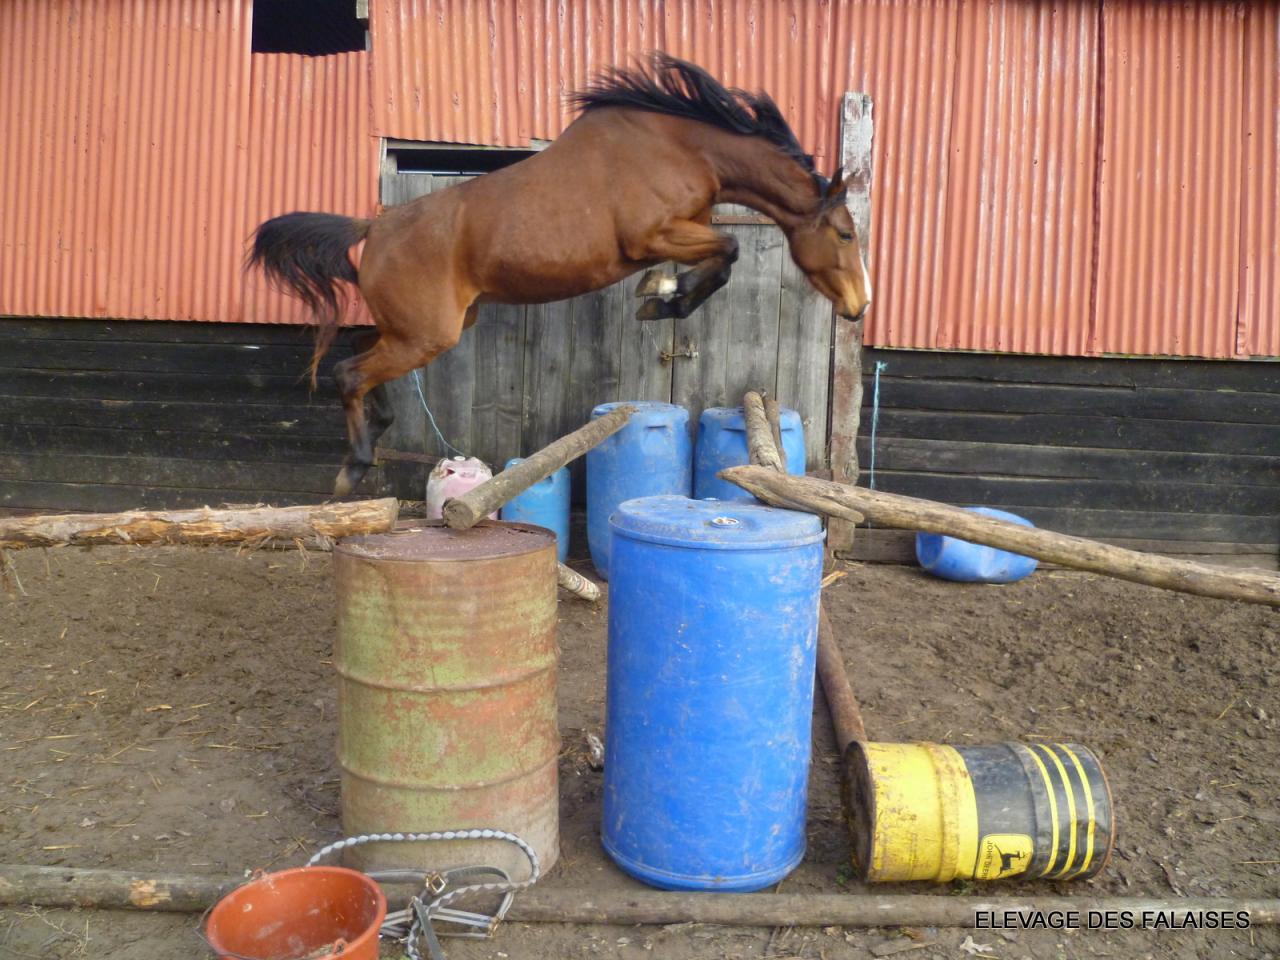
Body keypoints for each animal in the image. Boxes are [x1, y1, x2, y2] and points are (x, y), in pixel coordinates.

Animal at [249, 54, 870, 496]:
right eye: (846, 234)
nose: (859, 306)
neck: (682, 149)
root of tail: (374, 228)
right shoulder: (651, 235)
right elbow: (732, 248)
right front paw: (663, 296)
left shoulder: (685, 229)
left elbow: (721, 257)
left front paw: (659, 294)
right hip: (426, 334)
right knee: (349, 373)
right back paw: (352, 469)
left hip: (423, 327)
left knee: (359, 354)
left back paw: (378, 428)